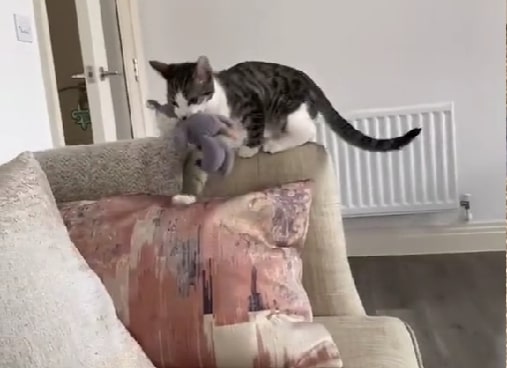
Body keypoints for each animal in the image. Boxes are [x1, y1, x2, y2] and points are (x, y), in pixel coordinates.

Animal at [149, 54, 422, 158]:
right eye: (174, 103)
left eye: (192, 99)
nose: (184, 117)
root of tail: (310, 82)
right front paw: (228, 142)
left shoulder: (251, 101)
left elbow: (252, 127)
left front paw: (249, 148)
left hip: (287, 106)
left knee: (308, 131)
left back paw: (275, 143)